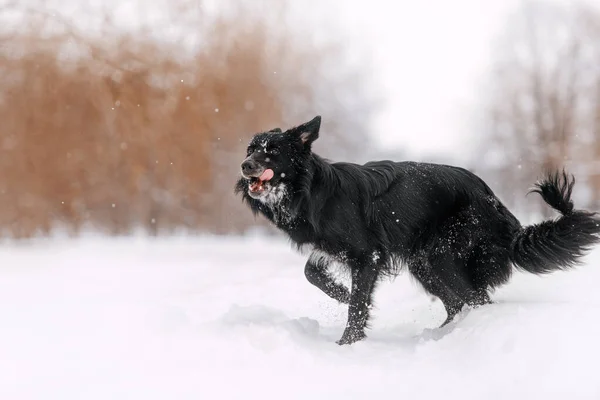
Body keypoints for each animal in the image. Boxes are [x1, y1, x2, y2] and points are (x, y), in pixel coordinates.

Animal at [234, 115, 600, 344]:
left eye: (273, 152)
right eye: (251, 149)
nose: (244, 165)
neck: (310, 189)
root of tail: (496, 204)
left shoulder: (368, 254)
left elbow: (357, 306)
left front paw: (347, 343)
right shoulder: (332, 250)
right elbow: (312, 274)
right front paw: (341, 292)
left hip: (441, 257)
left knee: (477, 299)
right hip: (423, 263)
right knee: (458, 303)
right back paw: (441, 334)